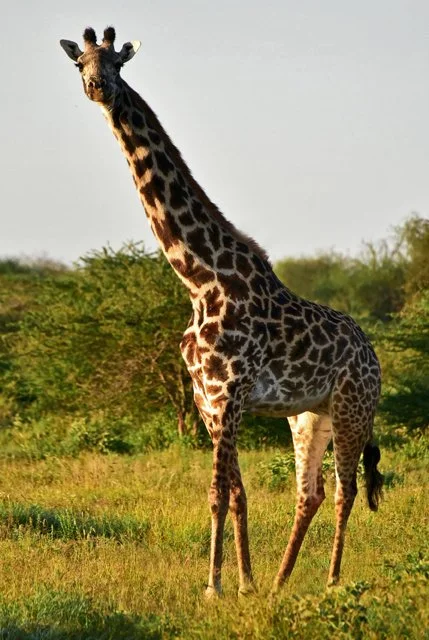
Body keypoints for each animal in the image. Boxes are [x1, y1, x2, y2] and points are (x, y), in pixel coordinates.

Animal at [60, 27, 383, 597]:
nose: (99, 87)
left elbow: (216, 493)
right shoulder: (207, 400)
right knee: (311, 492)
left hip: (353, 407)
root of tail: (373, 355)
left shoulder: (229, 392)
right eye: (81, 63)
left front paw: (214, 587)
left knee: (346, 489)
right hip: (309, 414)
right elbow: (236, 493)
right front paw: (245, 583)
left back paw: (331, 583)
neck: (200, 279)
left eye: (117, 61)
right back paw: (279, 583)